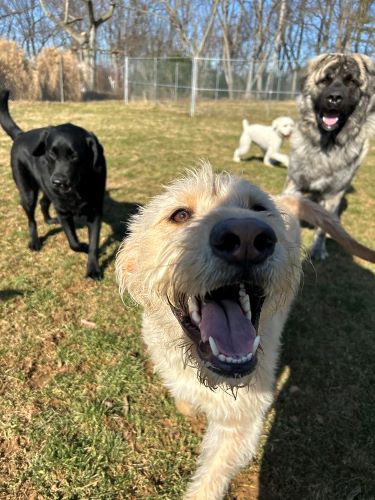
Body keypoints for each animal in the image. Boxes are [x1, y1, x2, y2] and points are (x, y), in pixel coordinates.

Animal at [117, 165, 375, 500]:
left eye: (259, 208)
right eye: (180, 214)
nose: (247, 236)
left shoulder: (242, 419)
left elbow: (209, 481)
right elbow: (181, 394)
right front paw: (187, 407)